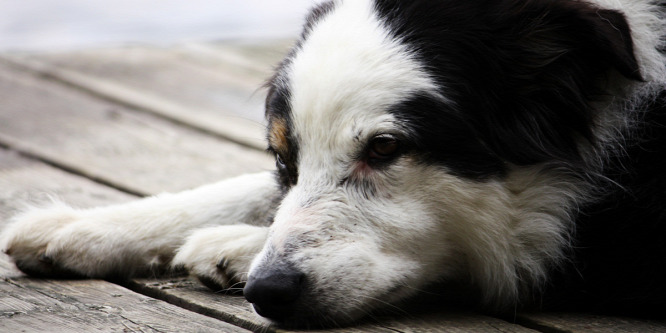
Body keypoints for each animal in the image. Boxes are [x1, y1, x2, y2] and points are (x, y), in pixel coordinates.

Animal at [1, 0, 664, 326]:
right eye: (283, 155)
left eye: (386, 148)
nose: (267, 290)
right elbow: (249, 188)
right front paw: (80, 228)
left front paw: (236, 245)